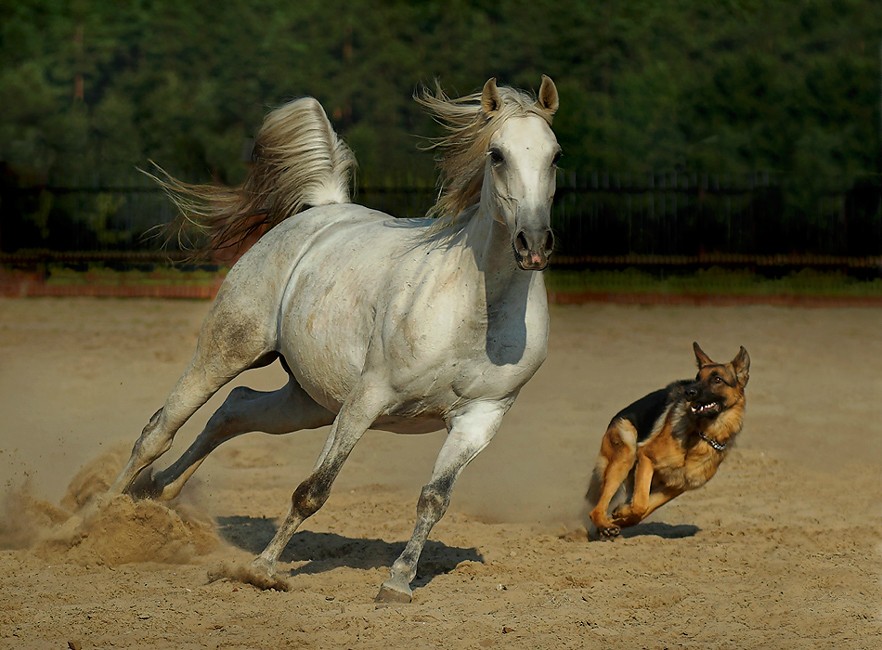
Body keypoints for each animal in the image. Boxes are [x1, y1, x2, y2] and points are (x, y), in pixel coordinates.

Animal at [110, 77, 560, 604]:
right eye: (496, 154)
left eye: (555, 155)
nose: (534, 244)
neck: (474, 310)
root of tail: (323, 210)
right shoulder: (368, 397)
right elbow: (314, 490)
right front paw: (262, 569)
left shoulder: (480, 419)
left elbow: (434, 500)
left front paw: (397, 583)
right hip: (228, 351)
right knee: (159, 430)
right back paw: (98, 516)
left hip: (309, 401)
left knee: (233, 410)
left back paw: (157, 494)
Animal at [584, 342, 748, 540]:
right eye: (697, 378)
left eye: (717, 379)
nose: (688, 392)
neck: (700, 434)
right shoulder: (646, 458)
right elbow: (640, 504)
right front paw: (622, 514)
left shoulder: (676, 485)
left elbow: (644, 508)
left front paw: (622, 514)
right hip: (626, 452)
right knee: (596, 509)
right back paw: (604, 524)